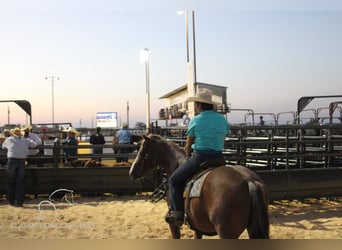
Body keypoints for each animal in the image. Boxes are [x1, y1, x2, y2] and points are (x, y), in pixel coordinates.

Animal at [129, 134, 270, 239]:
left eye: (143, 152)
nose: (132, 172)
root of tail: (249, 181)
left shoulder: (173, 224)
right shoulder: (198, 227)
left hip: (226, 233)